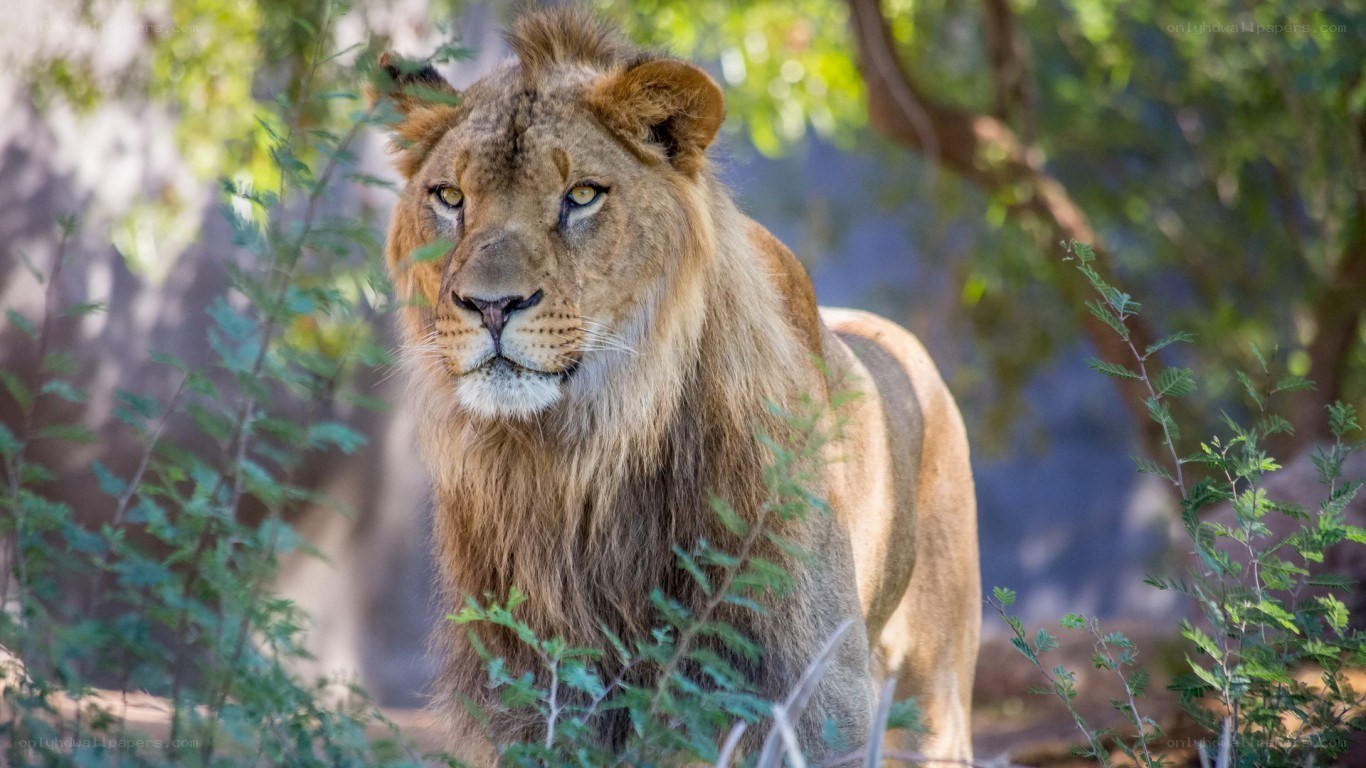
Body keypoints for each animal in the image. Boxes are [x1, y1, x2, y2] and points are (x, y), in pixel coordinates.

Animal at [376, 7, 979, 763]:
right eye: (450, 198)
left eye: (581, 196)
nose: (490, 305)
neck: (579, 459)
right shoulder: (526, 701)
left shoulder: (810, 691)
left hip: (934, 689)